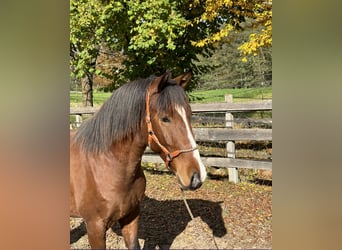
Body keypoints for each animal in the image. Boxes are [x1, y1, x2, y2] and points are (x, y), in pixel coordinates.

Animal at [70, 71, 206, 248]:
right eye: (165, 118)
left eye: (190, 115)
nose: (197, 176)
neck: (104, 166)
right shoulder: (95, 227)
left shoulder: (131, 216)